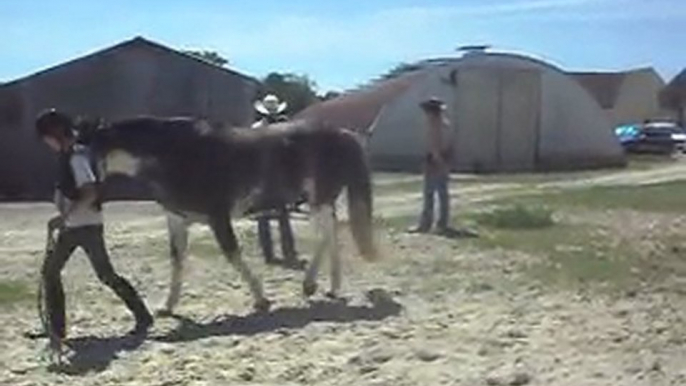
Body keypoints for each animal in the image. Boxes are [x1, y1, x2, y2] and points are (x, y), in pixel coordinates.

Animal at [87, 117, 382, 314]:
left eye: (85, 152)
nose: (89, 196)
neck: (176, 154)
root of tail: (342, 133)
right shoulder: (178, 220)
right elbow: (177, 261)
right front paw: (167, 307)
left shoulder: (218, 217)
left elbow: (233, 255)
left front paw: (261, 300)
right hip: (318, 202)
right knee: (331, 234)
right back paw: (329, 287)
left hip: (318, 200)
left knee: (327, 235)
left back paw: (312, 285)